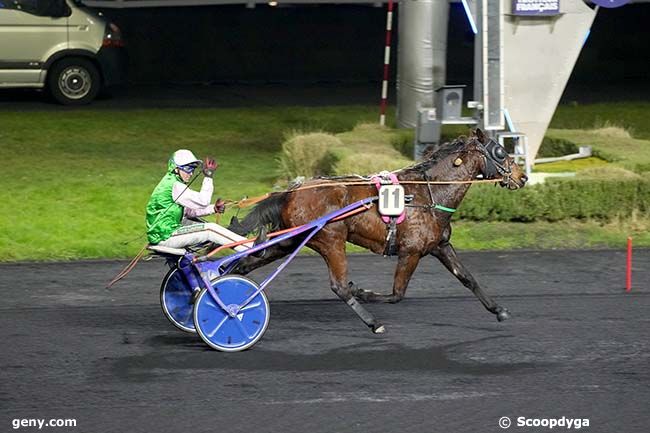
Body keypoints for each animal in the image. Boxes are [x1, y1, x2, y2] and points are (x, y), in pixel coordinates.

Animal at [228, 126, 528, 332]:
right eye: (501, 152)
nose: (522, 176)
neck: (429, 194)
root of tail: (294, 190)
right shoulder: (411, 252)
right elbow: (397, 294)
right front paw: (363, 292)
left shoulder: (440, 246)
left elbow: (468, 278)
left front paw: (498, 309)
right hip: (331, 240)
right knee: (339, 286)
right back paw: (373, 322)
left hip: (291, 239)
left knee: (247, 262)